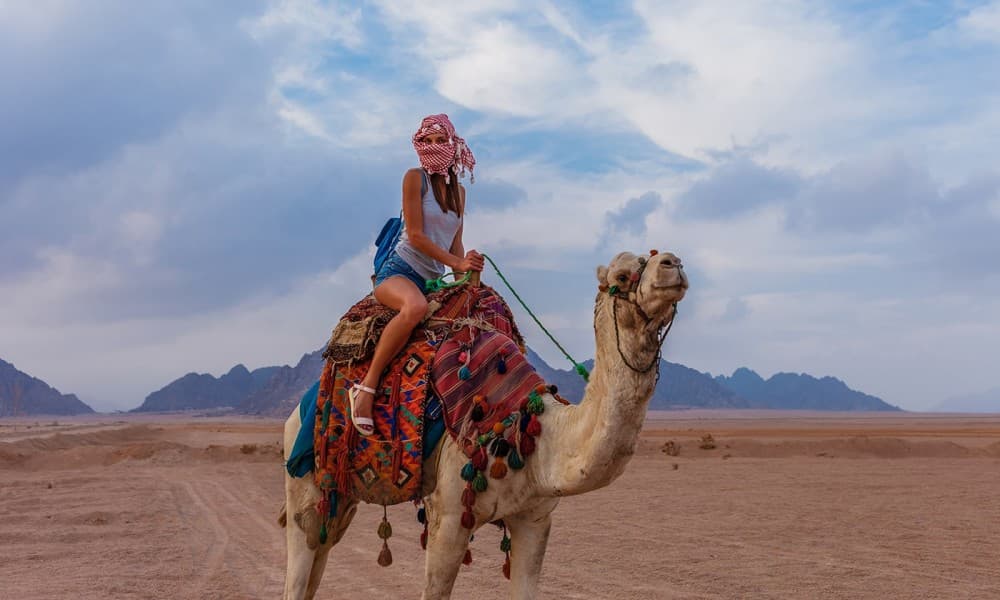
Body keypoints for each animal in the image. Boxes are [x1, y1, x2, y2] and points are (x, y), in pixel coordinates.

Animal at [280, 250, 688, 599]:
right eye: (621, 275)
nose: (674, 263)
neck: (536, 434)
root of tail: (299, 409)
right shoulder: (447, 517)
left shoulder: (535, 518)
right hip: (304, 484)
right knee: (299, 568)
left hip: (340, 496)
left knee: (321, 553)